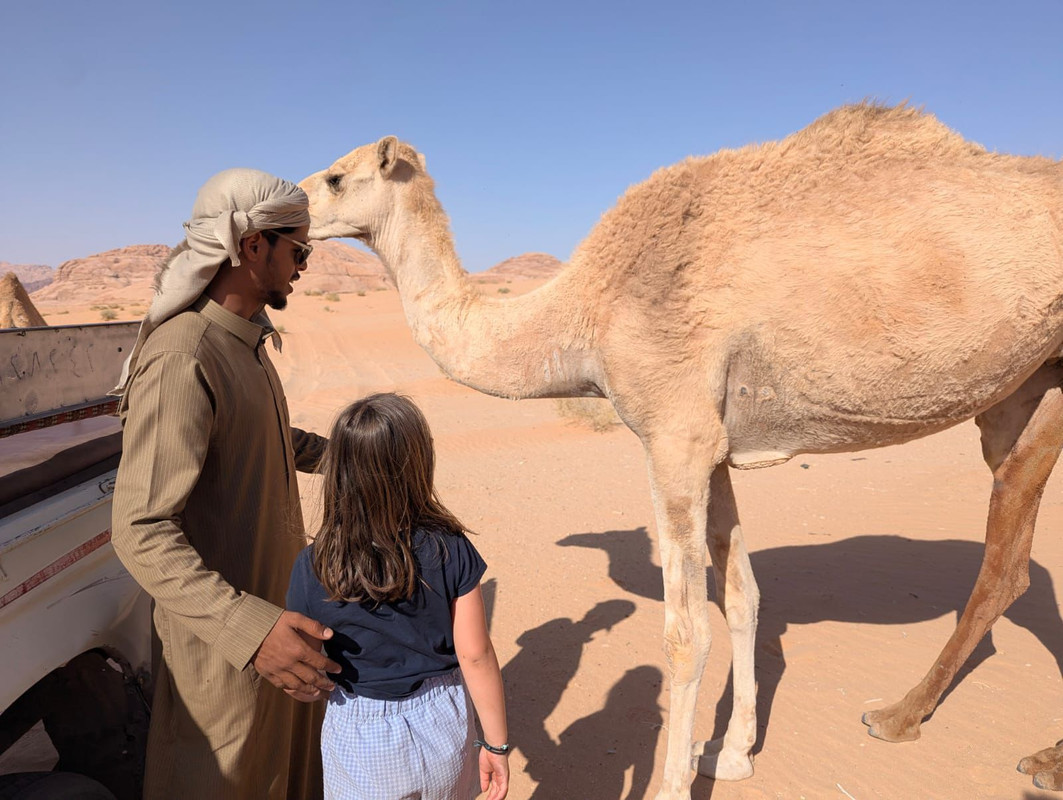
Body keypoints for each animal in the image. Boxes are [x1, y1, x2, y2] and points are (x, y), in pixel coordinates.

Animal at [300, 102, 1063, 798]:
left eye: (336, 177)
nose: (288, 209)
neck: (586, 310)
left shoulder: (673, 434)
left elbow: (685, 631)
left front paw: (676, 780)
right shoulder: (713, 446)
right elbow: (743, 596)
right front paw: (730, 754)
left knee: (1006, 565)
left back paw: (924, 725)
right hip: (1025, 390)